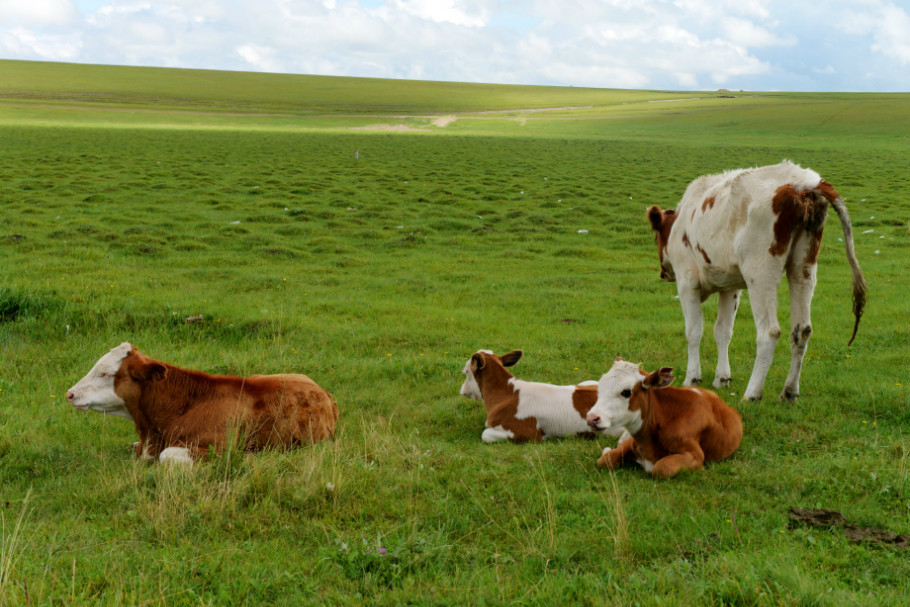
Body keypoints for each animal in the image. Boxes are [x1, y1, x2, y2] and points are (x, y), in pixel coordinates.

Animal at [588, 356, 744, 480]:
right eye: (600, 387)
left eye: (626, 392)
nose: (592, 418)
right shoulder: (631, 442)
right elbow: (605, 460)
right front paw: (607, 451)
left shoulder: (695, 455)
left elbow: (661, 468)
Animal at [648, 160, 868, 404]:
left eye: (657, 237)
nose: (663, 273)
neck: (682, 221)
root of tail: (803, 181)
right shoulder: (730, 287)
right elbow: (723, 331)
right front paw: (722, 378)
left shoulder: (687, 283)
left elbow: (694, 331)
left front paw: (692, 378)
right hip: (803, 266)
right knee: (802, 330)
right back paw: (789, 392)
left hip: (760, 272)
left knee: (769, 332)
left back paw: (752, 393)